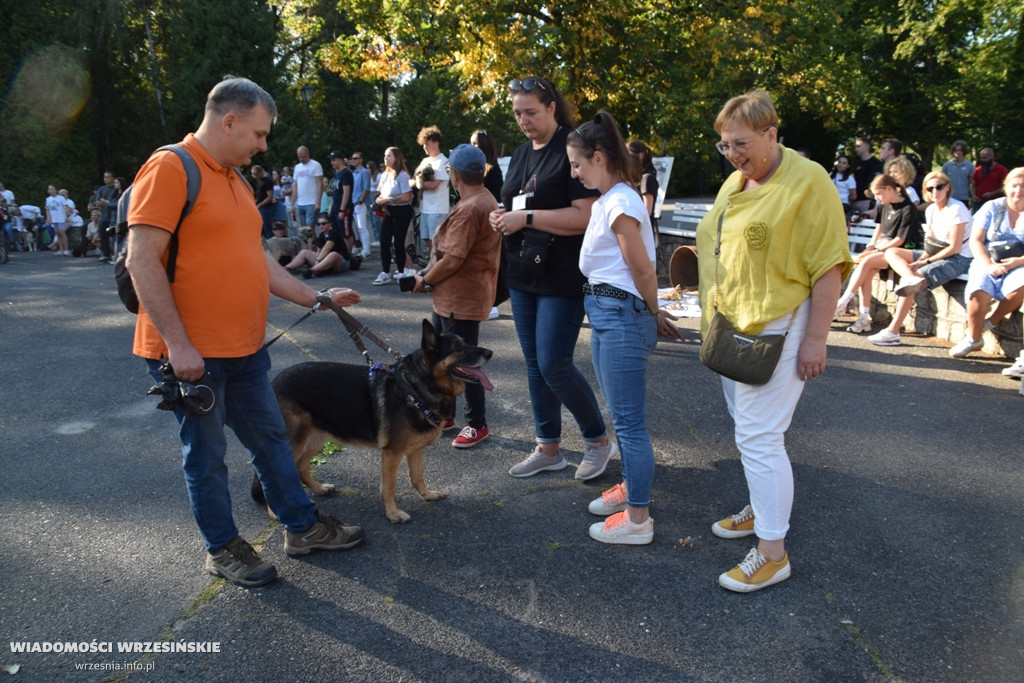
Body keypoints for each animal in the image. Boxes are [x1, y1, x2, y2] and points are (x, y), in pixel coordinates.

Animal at [256, 321, 495, 524]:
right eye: (457, 348)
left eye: (467, 342)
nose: (490, 353)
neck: (416, 388)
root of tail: (275, 381)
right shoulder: (392, 453)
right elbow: (389, 487)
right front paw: (393, 514)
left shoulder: (415, 450)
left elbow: (417, 477)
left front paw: (427, 495)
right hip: (293, 442)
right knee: (276, 477)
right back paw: (276, 513)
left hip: (316, 439)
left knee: (300, 467)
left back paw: (319, 488)